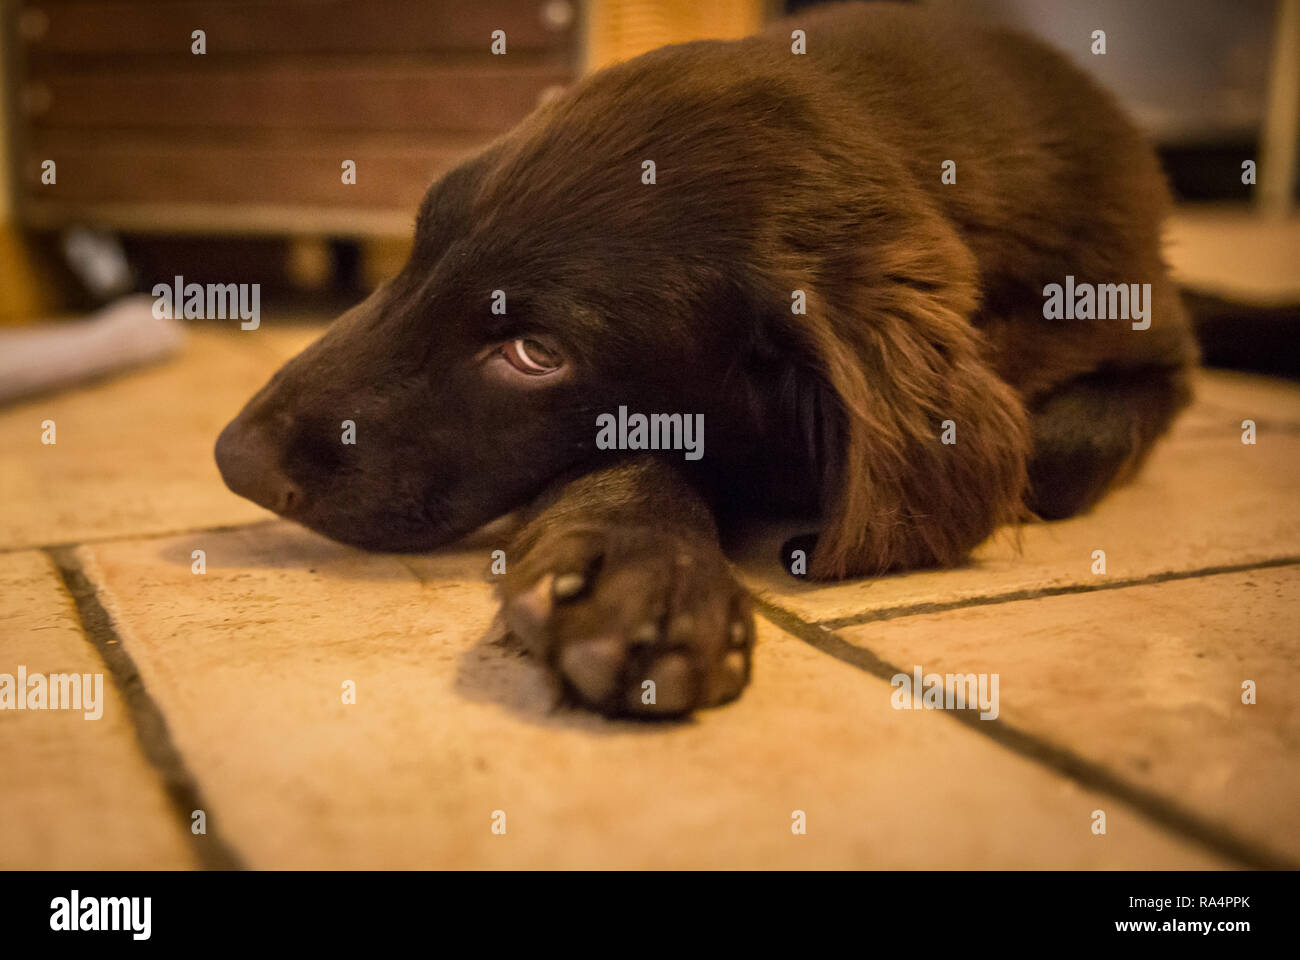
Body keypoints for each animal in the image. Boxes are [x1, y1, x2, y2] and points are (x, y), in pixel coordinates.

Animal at [215, 3, 1196, 712]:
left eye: (534, 353)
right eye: (418, 247)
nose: (235, 461)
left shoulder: (1148, 339)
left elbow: (1061, 453)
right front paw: (639, 567)